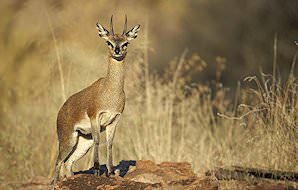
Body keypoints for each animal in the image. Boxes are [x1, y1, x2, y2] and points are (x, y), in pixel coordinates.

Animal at [53, 15, 140, 185]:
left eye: (125, 43)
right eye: (109, 42)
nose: (117, 51)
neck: (110, 91)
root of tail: (61, 111)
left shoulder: (114, 120)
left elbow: (110, 143)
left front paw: (111, 172)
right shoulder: (95, 117)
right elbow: (99, 141)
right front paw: (97, 170)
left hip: (83, 141)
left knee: (68, 163)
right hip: (68, 139)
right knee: (59, 162)